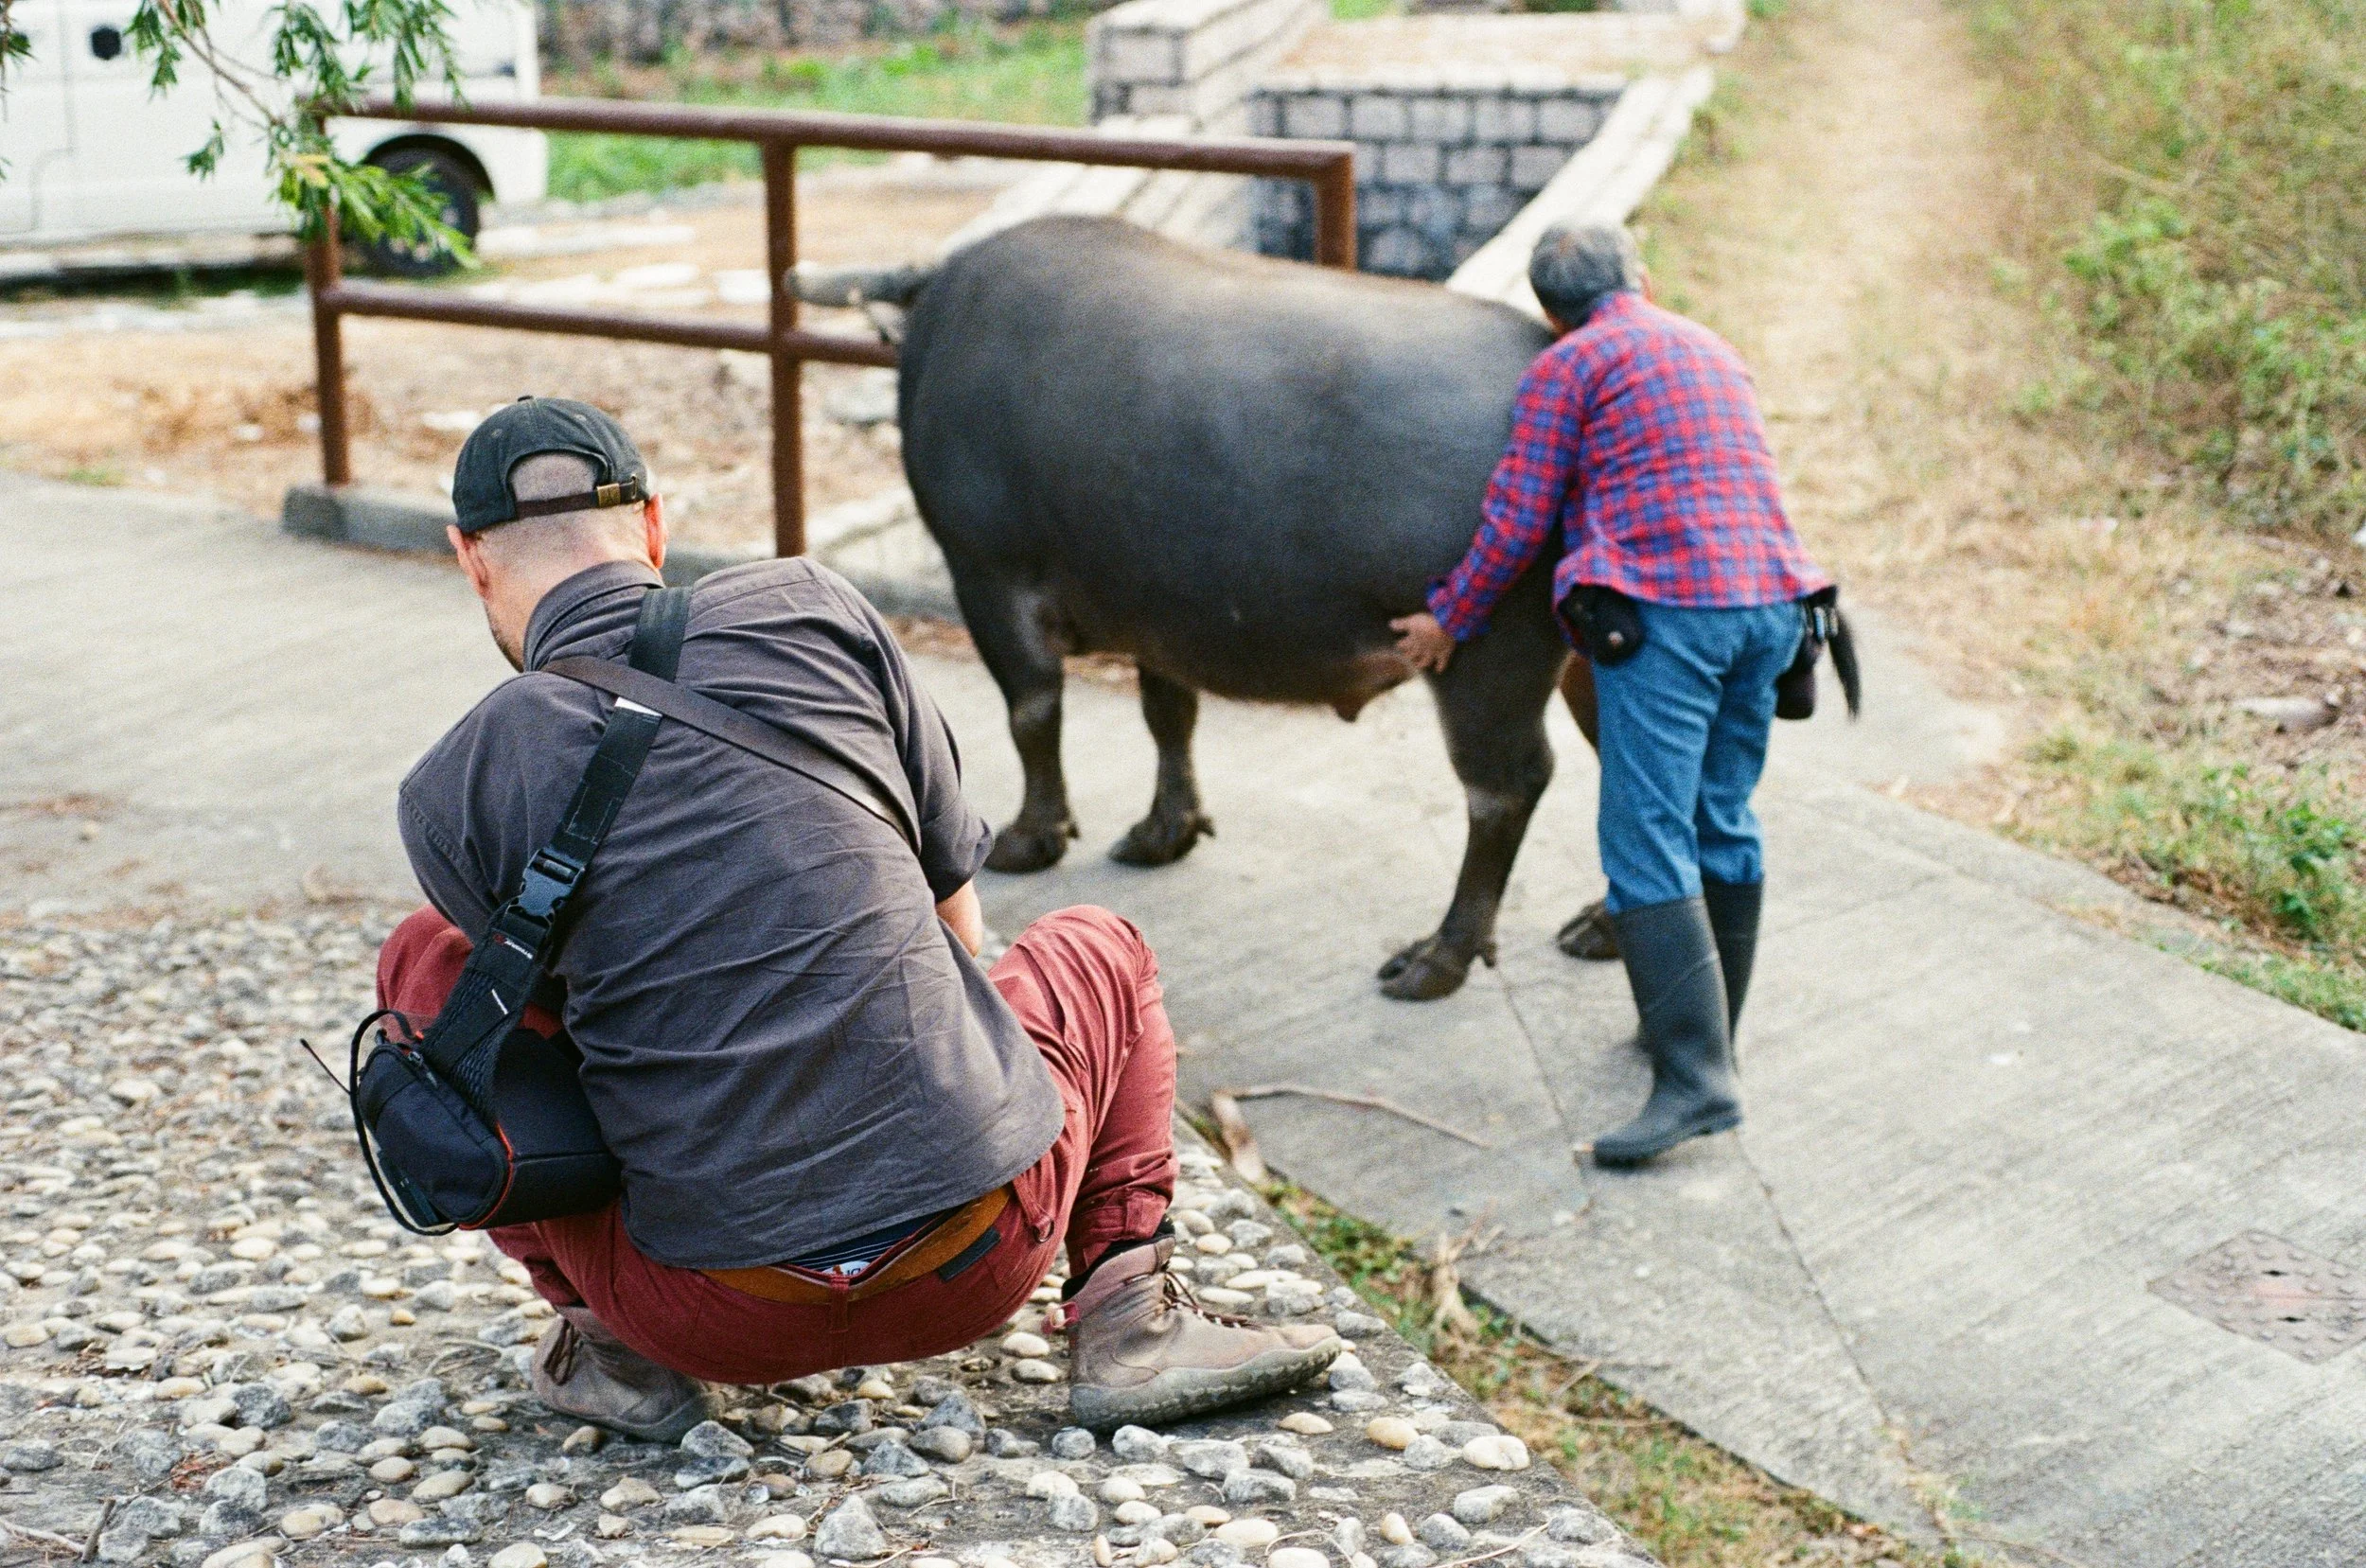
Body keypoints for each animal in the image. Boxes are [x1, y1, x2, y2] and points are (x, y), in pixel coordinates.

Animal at [804, 214, 1614, 1000]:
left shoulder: (989, 577)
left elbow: (1032, 714)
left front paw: (1029, 837)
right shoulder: (1160, 611)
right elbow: (1170, 715)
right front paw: (1165, 831)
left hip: (1486, 662)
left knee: (1506, 789)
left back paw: (1438, 956)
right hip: (1588, 659)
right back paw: (1597, 925)